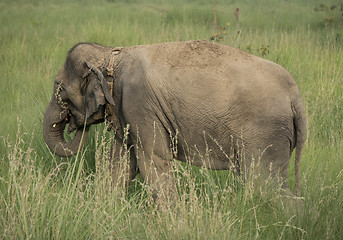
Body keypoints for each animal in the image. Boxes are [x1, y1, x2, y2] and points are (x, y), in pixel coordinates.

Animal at [43, 40, 306, 205]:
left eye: (60, 90)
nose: (77, 124)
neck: (112, 55)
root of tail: (295, 97)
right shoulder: (125, 110)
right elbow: (120, 162)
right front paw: (103, 206)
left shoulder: (139, 104)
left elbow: (153, 160)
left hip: (265, 134)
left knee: (264, 184)